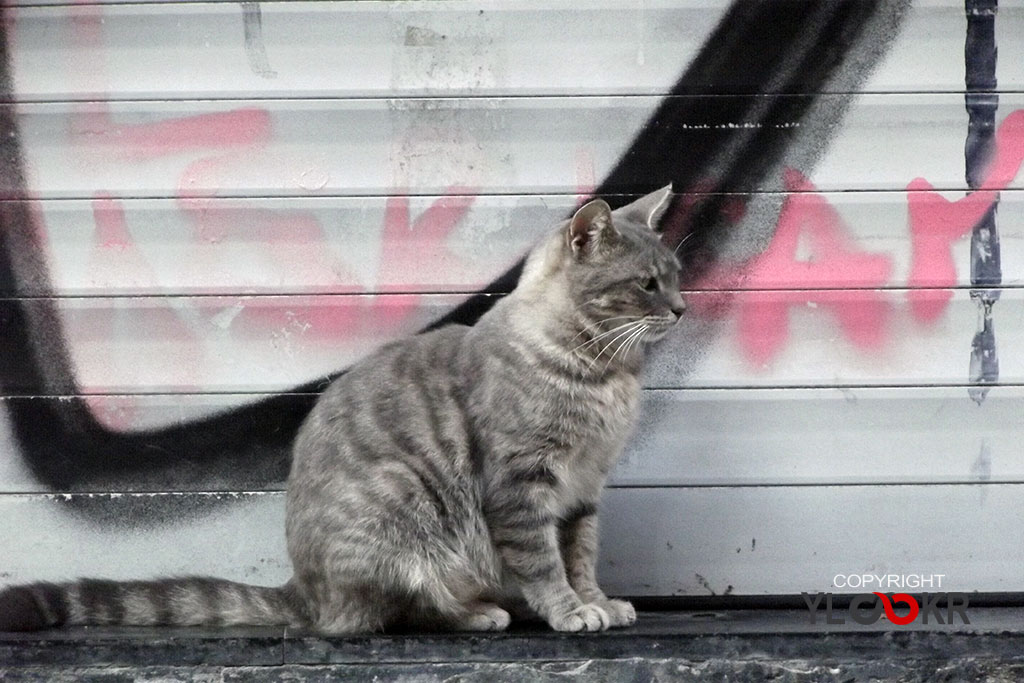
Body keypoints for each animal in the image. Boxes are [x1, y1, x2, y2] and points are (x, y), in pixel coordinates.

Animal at [4, 184, 688, 634]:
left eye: (678, 275)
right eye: (647, 284)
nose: (683, 309)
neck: (603, 374)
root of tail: (304, 591)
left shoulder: (584, 487)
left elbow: (580, 552)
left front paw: (597, 598)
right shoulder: (522, 485)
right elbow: (545, 561)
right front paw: (570, 609)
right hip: (408, 503)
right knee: (399, 609)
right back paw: (480, 611)